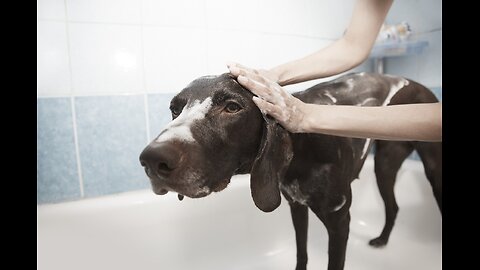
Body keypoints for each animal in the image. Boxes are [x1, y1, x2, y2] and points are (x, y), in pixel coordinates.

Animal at [139, 72, 442, 270]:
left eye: (232, 107)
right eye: (175, 109)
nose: (152, 160)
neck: (304, 147)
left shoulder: (339, 222)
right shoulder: (296, 206)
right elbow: (302, 253)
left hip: (427, 169)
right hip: (385, 166)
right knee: (393, 206)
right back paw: (382, 239)